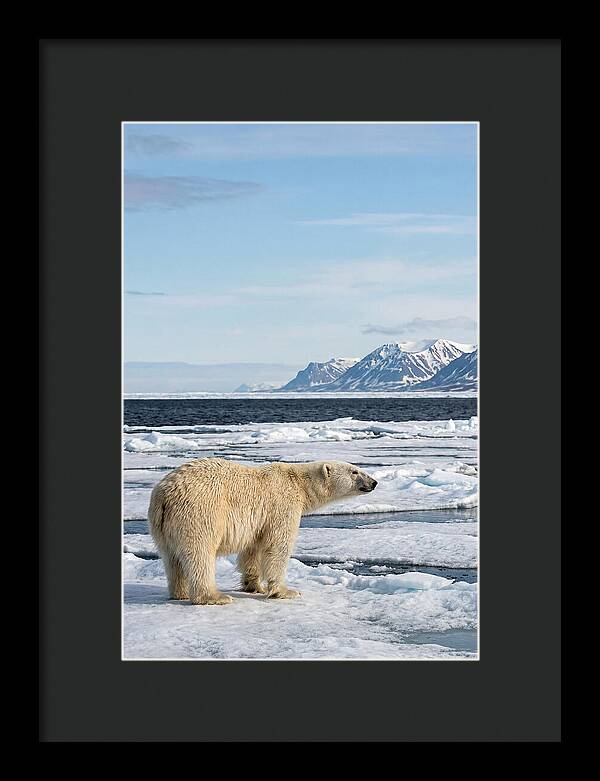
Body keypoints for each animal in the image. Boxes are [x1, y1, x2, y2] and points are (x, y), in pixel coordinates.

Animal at [147, 457, 378, 605]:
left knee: (171, 558)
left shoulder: (259, 521)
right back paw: (214, 597)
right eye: (355, 471)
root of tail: (164, 494)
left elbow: (253, 549)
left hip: (161, 525)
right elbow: (277, 546)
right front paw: (286, 591)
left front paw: (254, 586)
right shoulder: (282, 505)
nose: (374, 482)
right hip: (200, 512)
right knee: (200, 554)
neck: (299, 483)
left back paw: (180, 593)